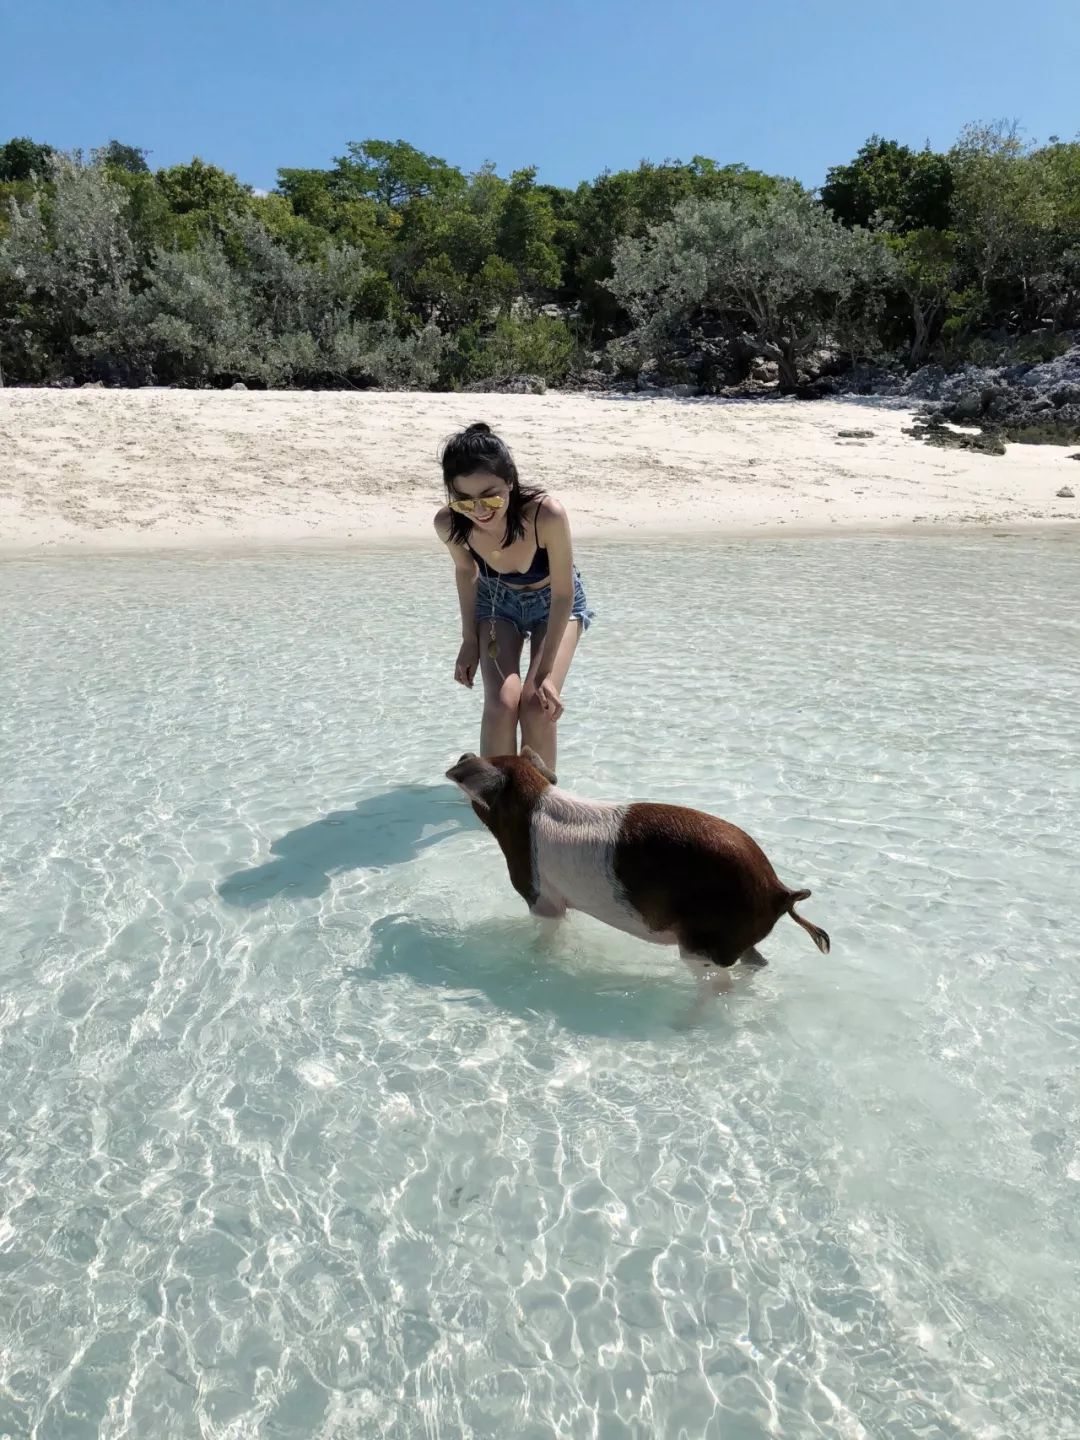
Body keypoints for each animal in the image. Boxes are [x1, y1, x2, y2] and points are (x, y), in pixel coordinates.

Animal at [443, 743, 835, 979]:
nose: (463, 754)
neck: (530, 806)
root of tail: (779, 890)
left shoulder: (542, 899)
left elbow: (548, 932)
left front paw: (533, 955)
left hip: (703, 944)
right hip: (735, 938)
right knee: (756, 963)